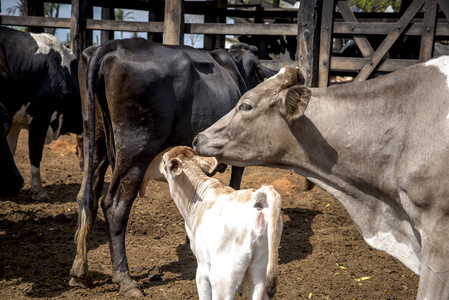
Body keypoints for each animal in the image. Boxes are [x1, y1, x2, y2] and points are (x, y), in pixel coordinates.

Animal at [159, 146, 282, 298]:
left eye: (164, 160)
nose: (159, 164)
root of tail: (257, 199)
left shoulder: (203, 268)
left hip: (223, 276)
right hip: (261, 269)